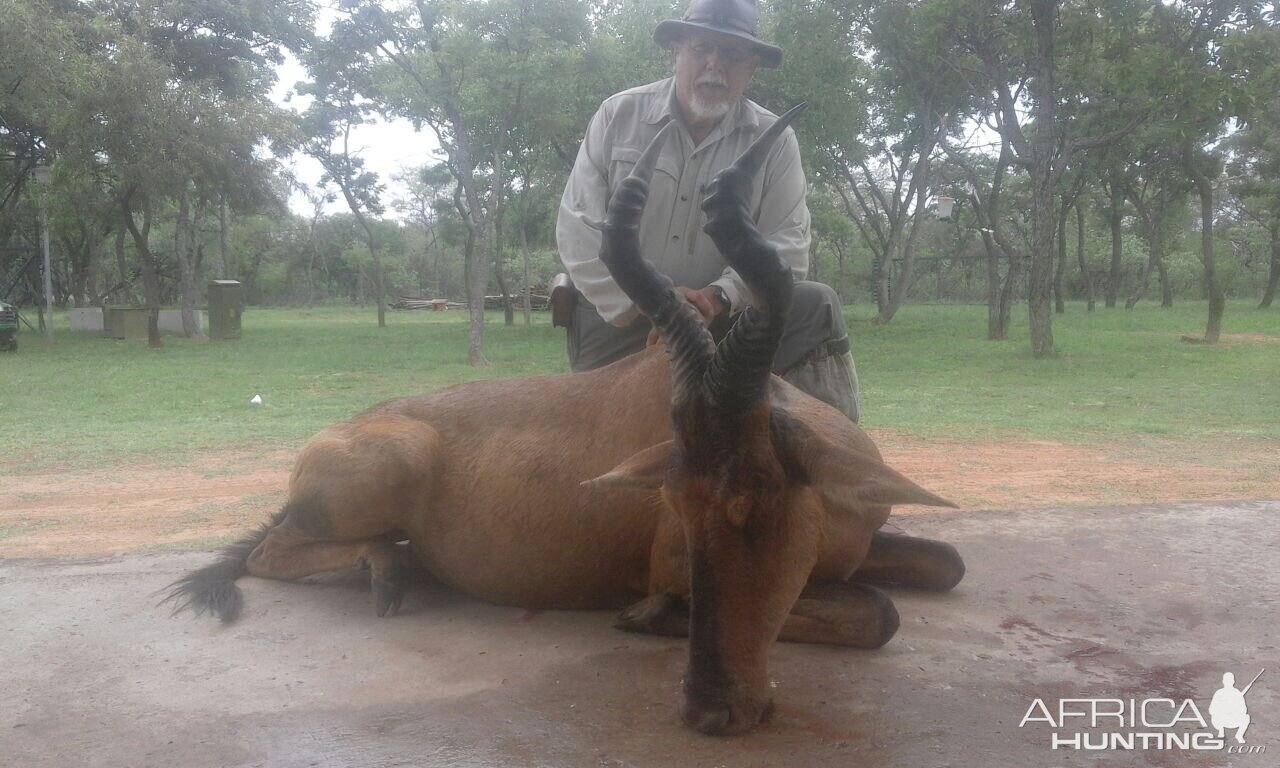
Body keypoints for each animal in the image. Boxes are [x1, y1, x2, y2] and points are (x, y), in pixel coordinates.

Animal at [165, 103, 962, 737]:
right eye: (675, 505)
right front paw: (644, 615)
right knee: (270, 555)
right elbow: (878, 613)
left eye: (755, 499)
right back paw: (386, 575)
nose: (711, 712)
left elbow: (942, 567)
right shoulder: (670, 561)